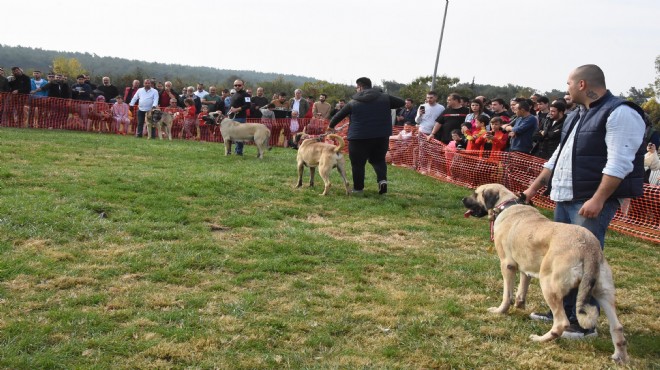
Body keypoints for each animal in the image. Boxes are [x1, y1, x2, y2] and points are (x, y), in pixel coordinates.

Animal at [464, 184, 628, 362]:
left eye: (475, 193)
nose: (463, 199)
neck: (506, 204)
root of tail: (589, 246)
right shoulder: (525, 267)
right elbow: (522, 289)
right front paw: (519, 305)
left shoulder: (507, 265)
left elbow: (507, 295)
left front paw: (500, 311)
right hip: (602, 291)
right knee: (617, 327)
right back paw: (619, 357)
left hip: (549, 284)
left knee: (561, 322)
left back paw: (540, 339)